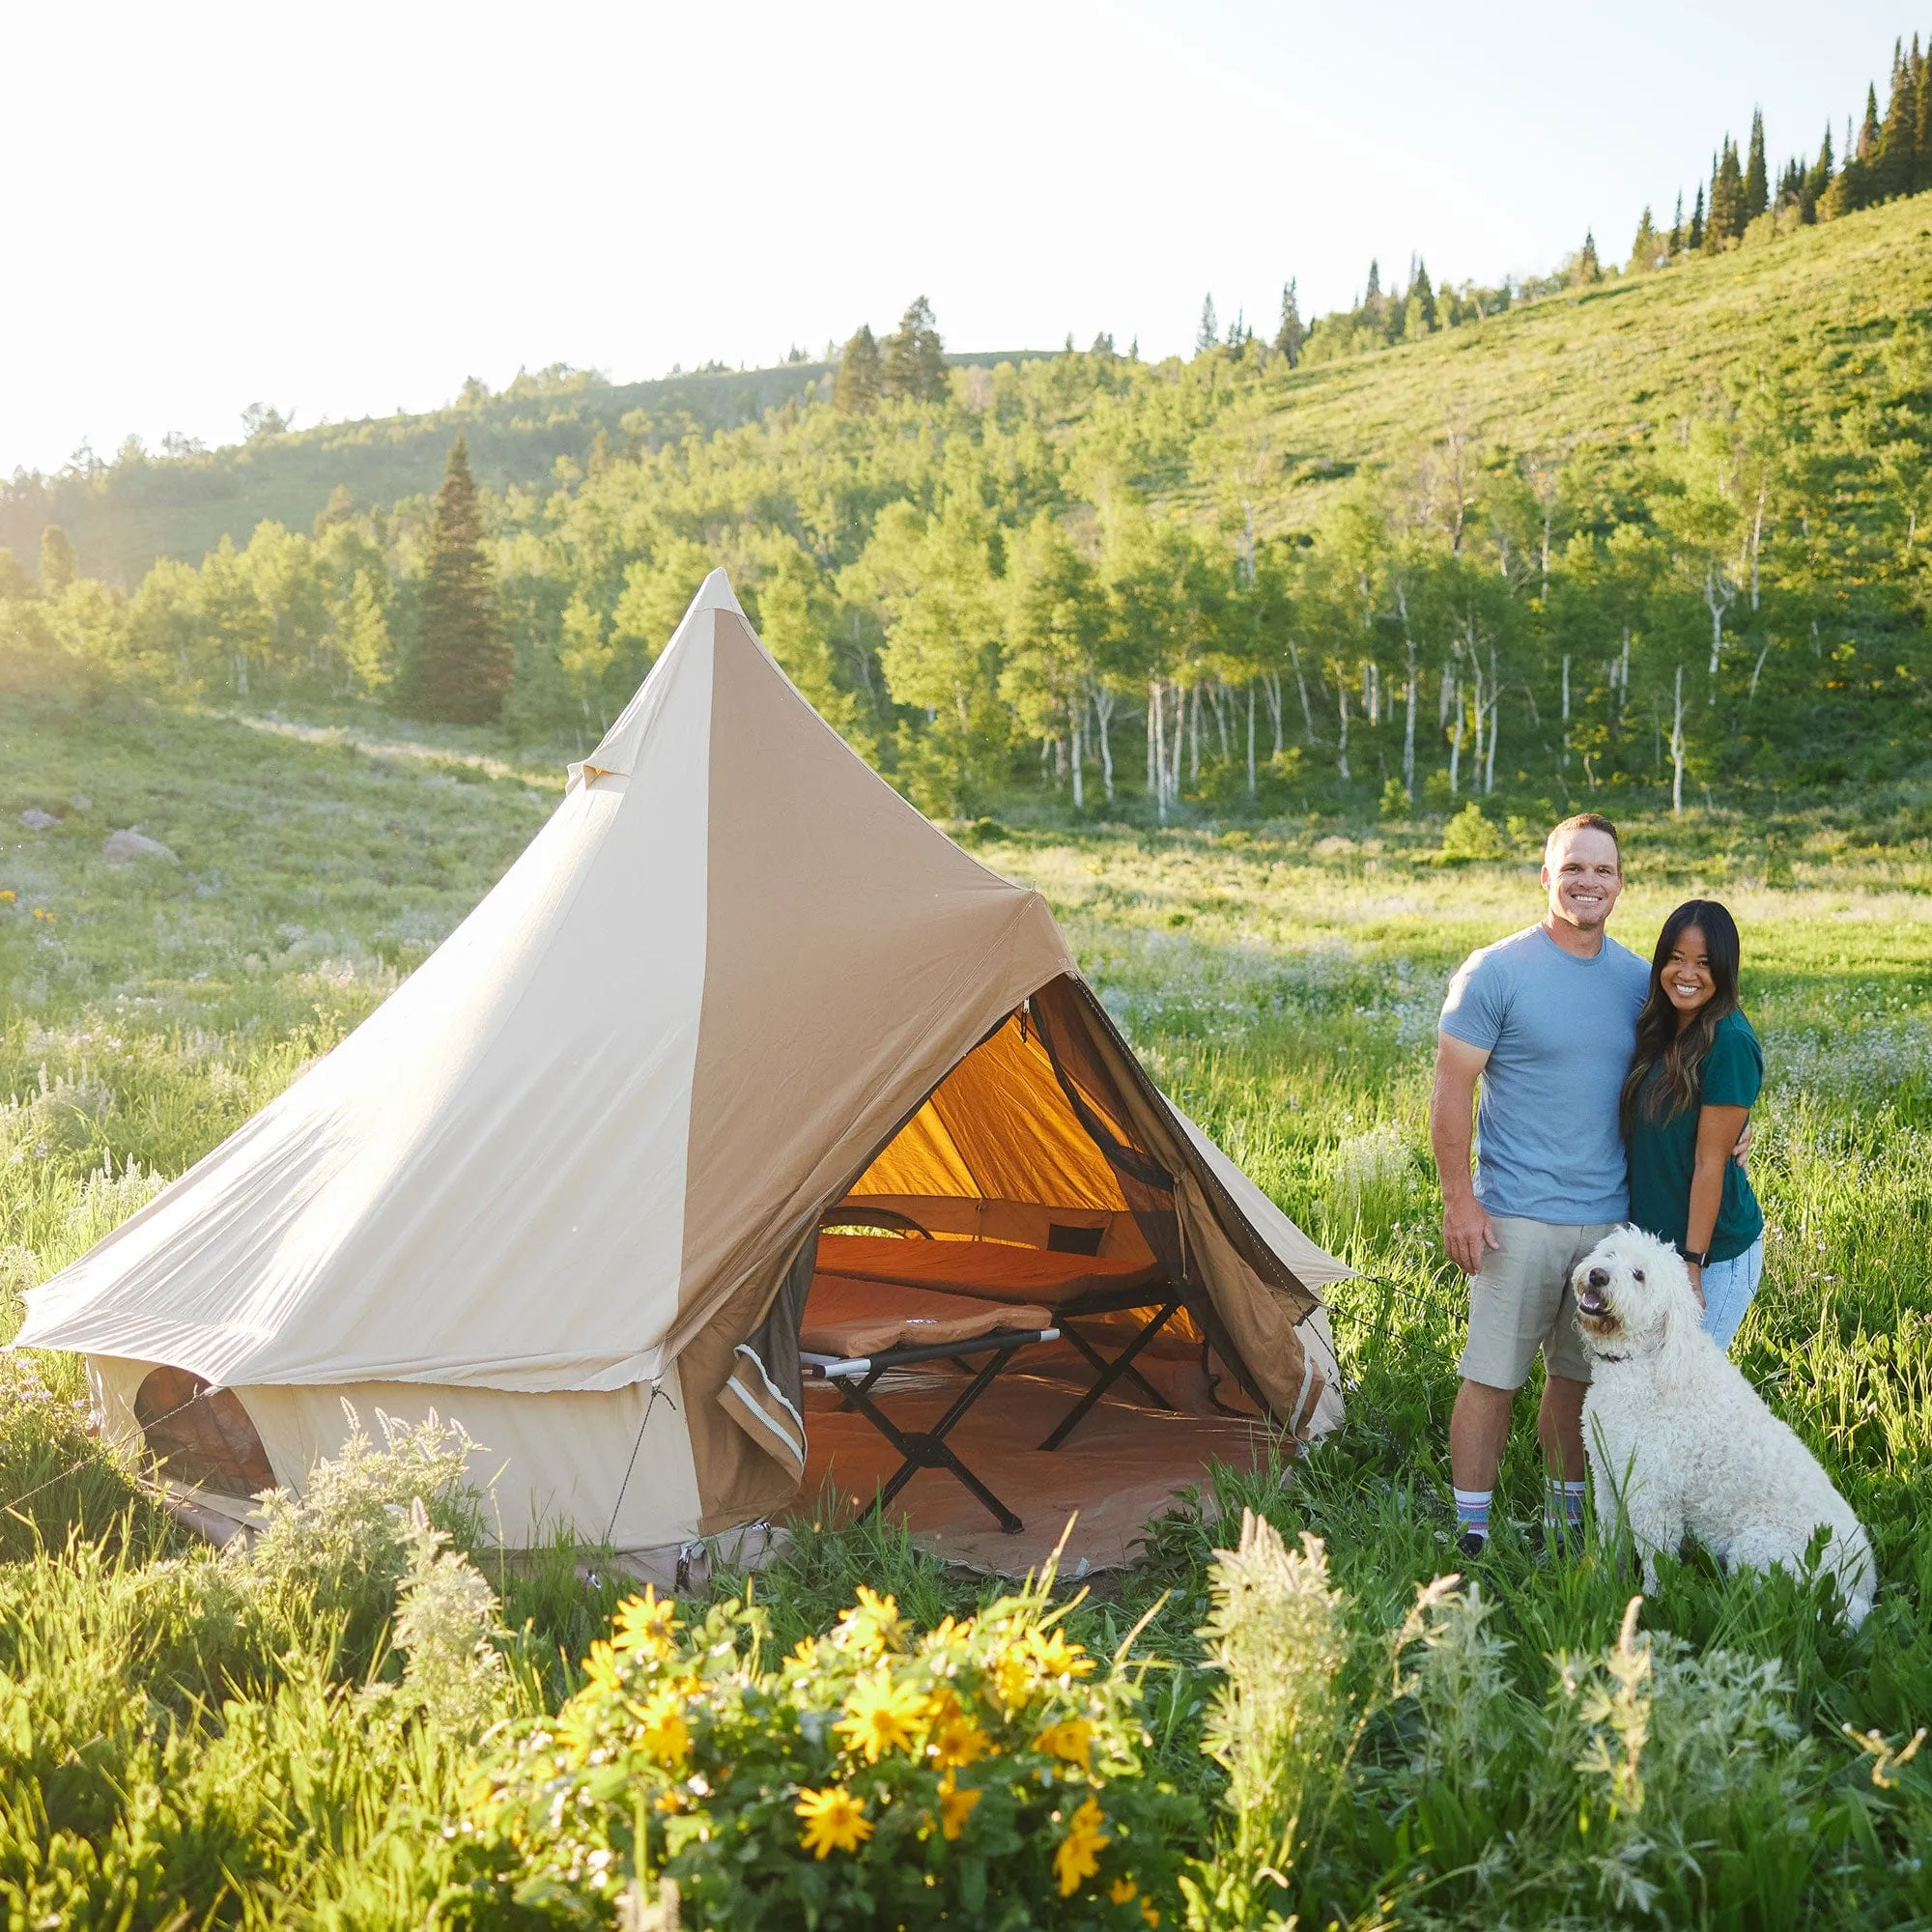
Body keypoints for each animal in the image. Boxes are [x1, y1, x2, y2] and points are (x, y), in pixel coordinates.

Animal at [1569, 1229, 1870, 1623]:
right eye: (1610, 1254)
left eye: (1639, 1276)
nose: (1598, 1276)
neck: (1641, 1362)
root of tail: (1864, 1585)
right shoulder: (1608, 1477)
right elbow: (1611, 1541)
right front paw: (1602, 1582)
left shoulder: (1654, 1499)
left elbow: (1655, 1560)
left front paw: (1650, 1605)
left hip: (1759, 1549)